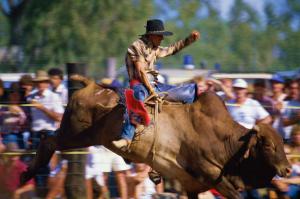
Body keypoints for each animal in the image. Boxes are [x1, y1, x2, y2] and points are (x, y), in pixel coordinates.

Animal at [21, 76, 290, 199]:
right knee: (48, 141)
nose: (287, 169)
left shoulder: (193, 187)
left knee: (47, 138)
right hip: (77, 135)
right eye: (267, 145)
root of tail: (91, 86)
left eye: (282, 143)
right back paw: (28, 173)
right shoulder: (215, 178)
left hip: (76, 134)